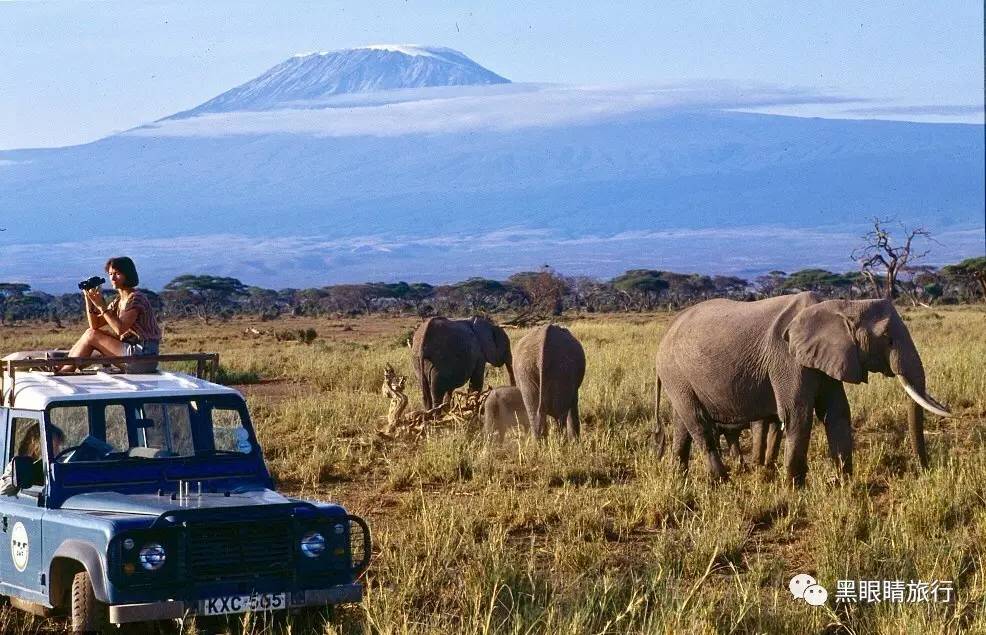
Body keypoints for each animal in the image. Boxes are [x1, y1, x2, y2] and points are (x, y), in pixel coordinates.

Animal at [656, 294, 948, 486]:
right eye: (888, 339)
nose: (925, 471)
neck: (840, 306)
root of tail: (667, 332)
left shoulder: (827, 356)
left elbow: (837, 413)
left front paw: (842, 484)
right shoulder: (786, 358)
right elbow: (798, 414)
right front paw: (794, 488)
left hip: (679, 378)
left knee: (682, 424)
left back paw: (679, 477)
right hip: (675, 372)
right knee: (700, 425)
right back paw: (722, 481)